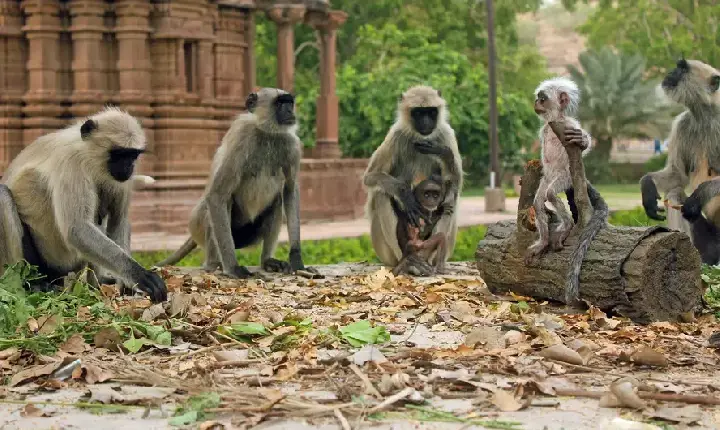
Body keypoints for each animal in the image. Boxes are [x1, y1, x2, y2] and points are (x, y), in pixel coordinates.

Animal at [0, 107, 167, 303]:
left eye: (132, 155)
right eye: (119, 154)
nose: (128, 167)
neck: (87, 152)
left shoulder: (120, 179)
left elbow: (118, 221)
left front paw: (127, 283)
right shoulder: (72, 162)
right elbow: (77, 229)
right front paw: (138, 274)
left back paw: (96, 282)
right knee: (3, 195)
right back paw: (26, 285)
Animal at [155, 88, 312, 278]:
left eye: (289, 103)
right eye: (280, 104)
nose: (290, 112)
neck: (266, 132)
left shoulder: (292, 145)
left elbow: (289, 189)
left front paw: (297, 259)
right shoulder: (241, 136)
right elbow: (217, 195)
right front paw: (233, 268)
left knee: (276, 201)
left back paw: (267, 261)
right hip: (199, 226)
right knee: (220, 202)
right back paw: (214, 264)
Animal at [363, 85, 463, 276]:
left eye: (431, 112)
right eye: (418, 113)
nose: (425, 122)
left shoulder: (446, 134)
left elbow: (455, 182)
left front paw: (444, 154)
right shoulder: (396, 134)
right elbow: (370, 177)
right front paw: (405, 195)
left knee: (451, 199)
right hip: (385, 254)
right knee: (381, 194)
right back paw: (408, 261)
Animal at [527, 77, 609, 304]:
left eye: (543, 99)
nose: (536, 103)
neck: (553, 121)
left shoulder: (569, 126)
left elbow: (582, 142)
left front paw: (583, 140)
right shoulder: (546, 131)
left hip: (564, 176)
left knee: (550, 193)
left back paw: (567, 226)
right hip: (550, 177)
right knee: (539, 200)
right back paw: (544, 241)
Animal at [641, 59, 720, 240]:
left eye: (682, 69)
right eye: (678, 66)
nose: (670, 72)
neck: (706, 116)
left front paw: (700, 194)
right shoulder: (683, 124)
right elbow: (678, 176)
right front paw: (647, 184)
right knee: (674, 194)